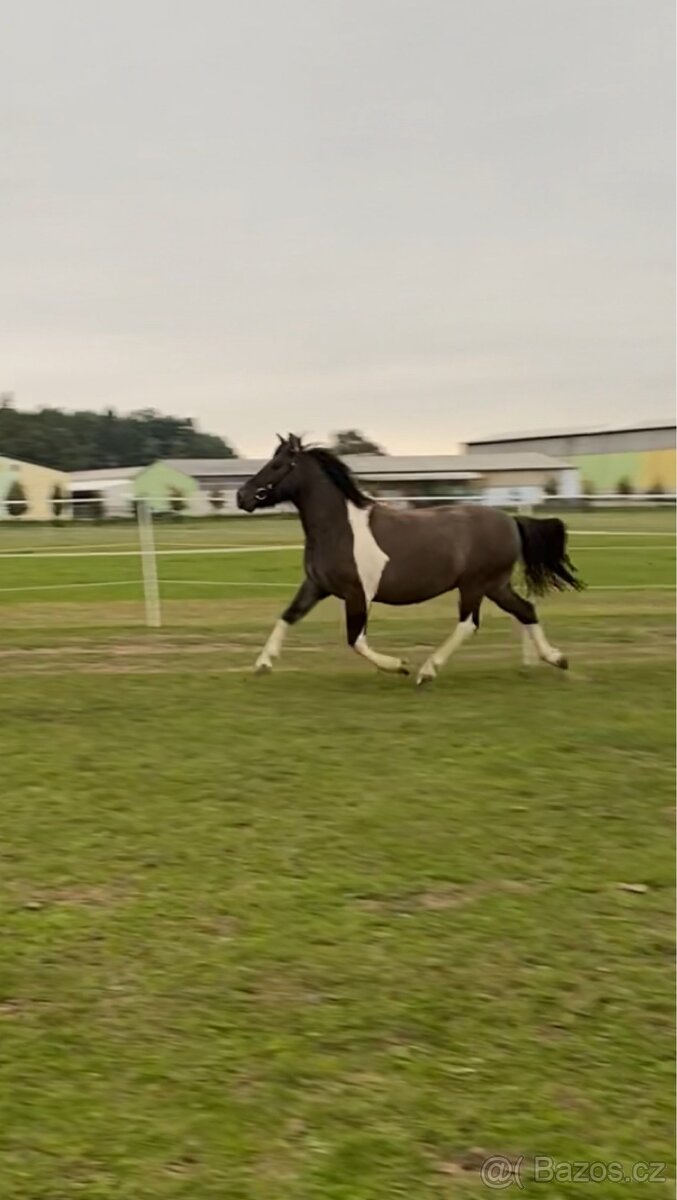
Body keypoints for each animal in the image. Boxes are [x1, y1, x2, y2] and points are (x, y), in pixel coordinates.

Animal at [236, 435, 583, 685]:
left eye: (278, 464)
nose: (242, 496)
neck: (338, 528)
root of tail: (510, 520)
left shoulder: (357, 593)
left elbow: (355, 640)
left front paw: (399, 665)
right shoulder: (316, 585)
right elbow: (288, 616)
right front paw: (263, 663)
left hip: (475, 585)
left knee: (468, 624)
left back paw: (427, 671)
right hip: (495, 585)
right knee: (526, 610)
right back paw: (558, 659)